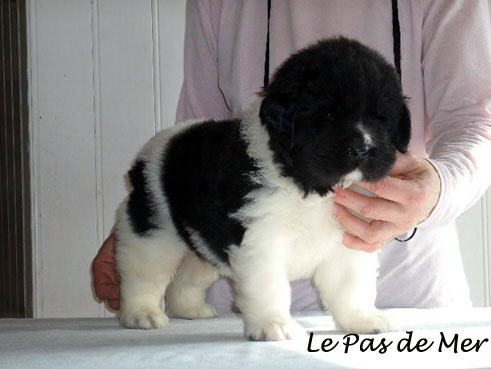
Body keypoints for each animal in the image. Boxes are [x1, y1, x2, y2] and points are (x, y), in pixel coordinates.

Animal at [115, 37, 412, 340]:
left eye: (381, 118)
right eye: (328, 115)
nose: (363, 148)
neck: (306, 182)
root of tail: (143, 158)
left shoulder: (349, 241)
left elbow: (351, 286)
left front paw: (362, 319)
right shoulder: (260, 239)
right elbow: (269, 287)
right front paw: (274, 325)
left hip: (202, 243)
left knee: (187, 276)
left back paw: (189, 309)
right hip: (154, 232)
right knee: (142, 274)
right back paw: (141, 314)